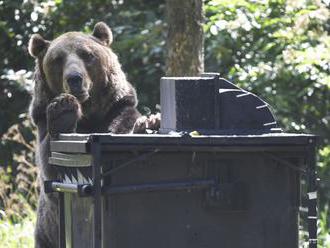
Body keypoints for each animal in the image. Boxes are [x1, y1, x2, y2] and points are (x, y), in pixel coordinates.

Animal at [27, 22, 159, 247]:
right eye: (57, 59)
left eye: (87, 54)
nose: (74, 79)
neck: (88, 115)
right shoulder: (42, 122)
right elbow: (51, 162)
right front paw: (63, 109)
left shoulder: (116, 109)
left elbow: (125, 124)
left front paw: (148, 122)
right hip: (46, 233)